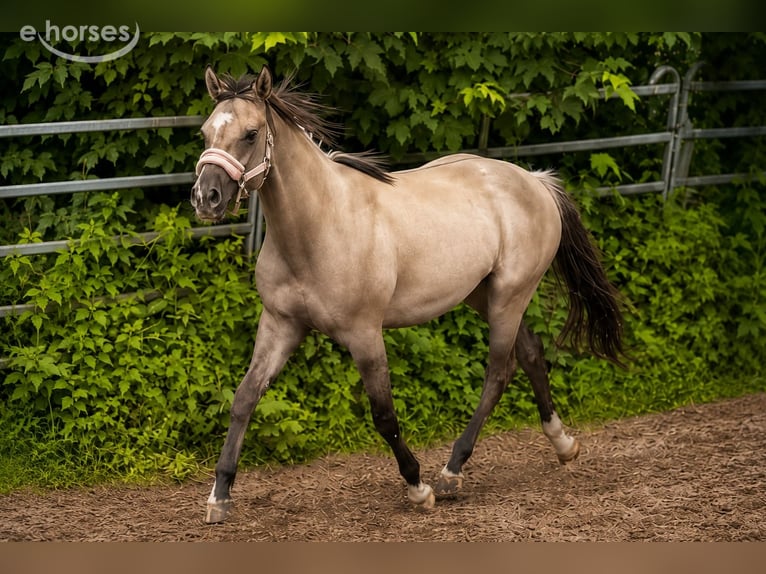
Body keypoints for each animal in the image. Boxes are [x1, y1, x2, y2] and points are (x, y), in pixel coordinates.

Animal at [191, 65, 624, 524]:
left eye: (251, 133)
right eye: (205, 132)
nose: (205, 198)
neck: (319, 224)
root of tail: (536, 182)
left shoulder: (364, 334)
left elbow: (383, 415)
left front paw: (418, 488)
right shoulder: (281, 325)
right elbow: (244, 398)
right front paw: (219, 497)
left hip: (511, 295)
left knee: (498, 372)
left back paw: (451, 473)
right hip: (485, 296)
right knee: (530, 354)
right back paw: (563, 444)